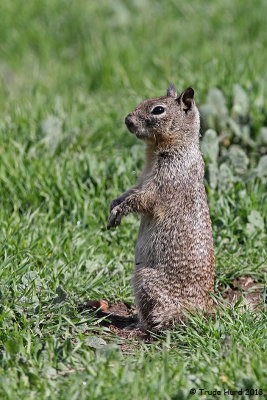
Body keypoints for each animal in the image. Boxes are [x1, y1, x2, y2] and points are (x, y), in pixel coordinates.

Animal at [108, 83, 215, 330]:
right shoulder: (141, 181)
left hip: (145, 280)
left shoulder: (163, 183)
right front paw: (113, 206)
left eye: (158, 110)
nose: (127, 120)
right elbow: (129, 192)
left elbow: (142, 200)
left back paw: (135, 326)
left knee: (154, 319)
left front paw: (120, 210)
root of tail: (200, 313)